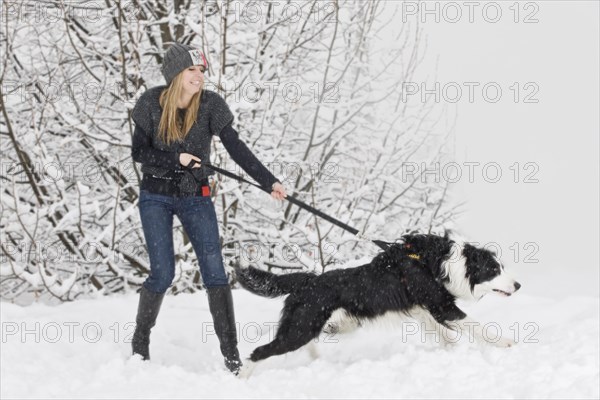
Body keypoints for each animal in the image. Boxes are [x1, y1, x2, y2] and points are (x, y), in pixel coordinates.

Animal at [237, 233, 524, 376]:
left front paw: (451, 351)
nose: (519, 285)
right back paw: (242, 378)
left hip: (324, 325)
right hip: (301, 327)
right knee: (260, 351)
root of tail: (307, 281)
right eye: (494, 269)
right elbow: (477, 325)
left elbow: (444, 334)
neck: (440, 264)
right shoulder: (442, 306)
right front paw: (506, 343)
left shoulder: (423, 309)